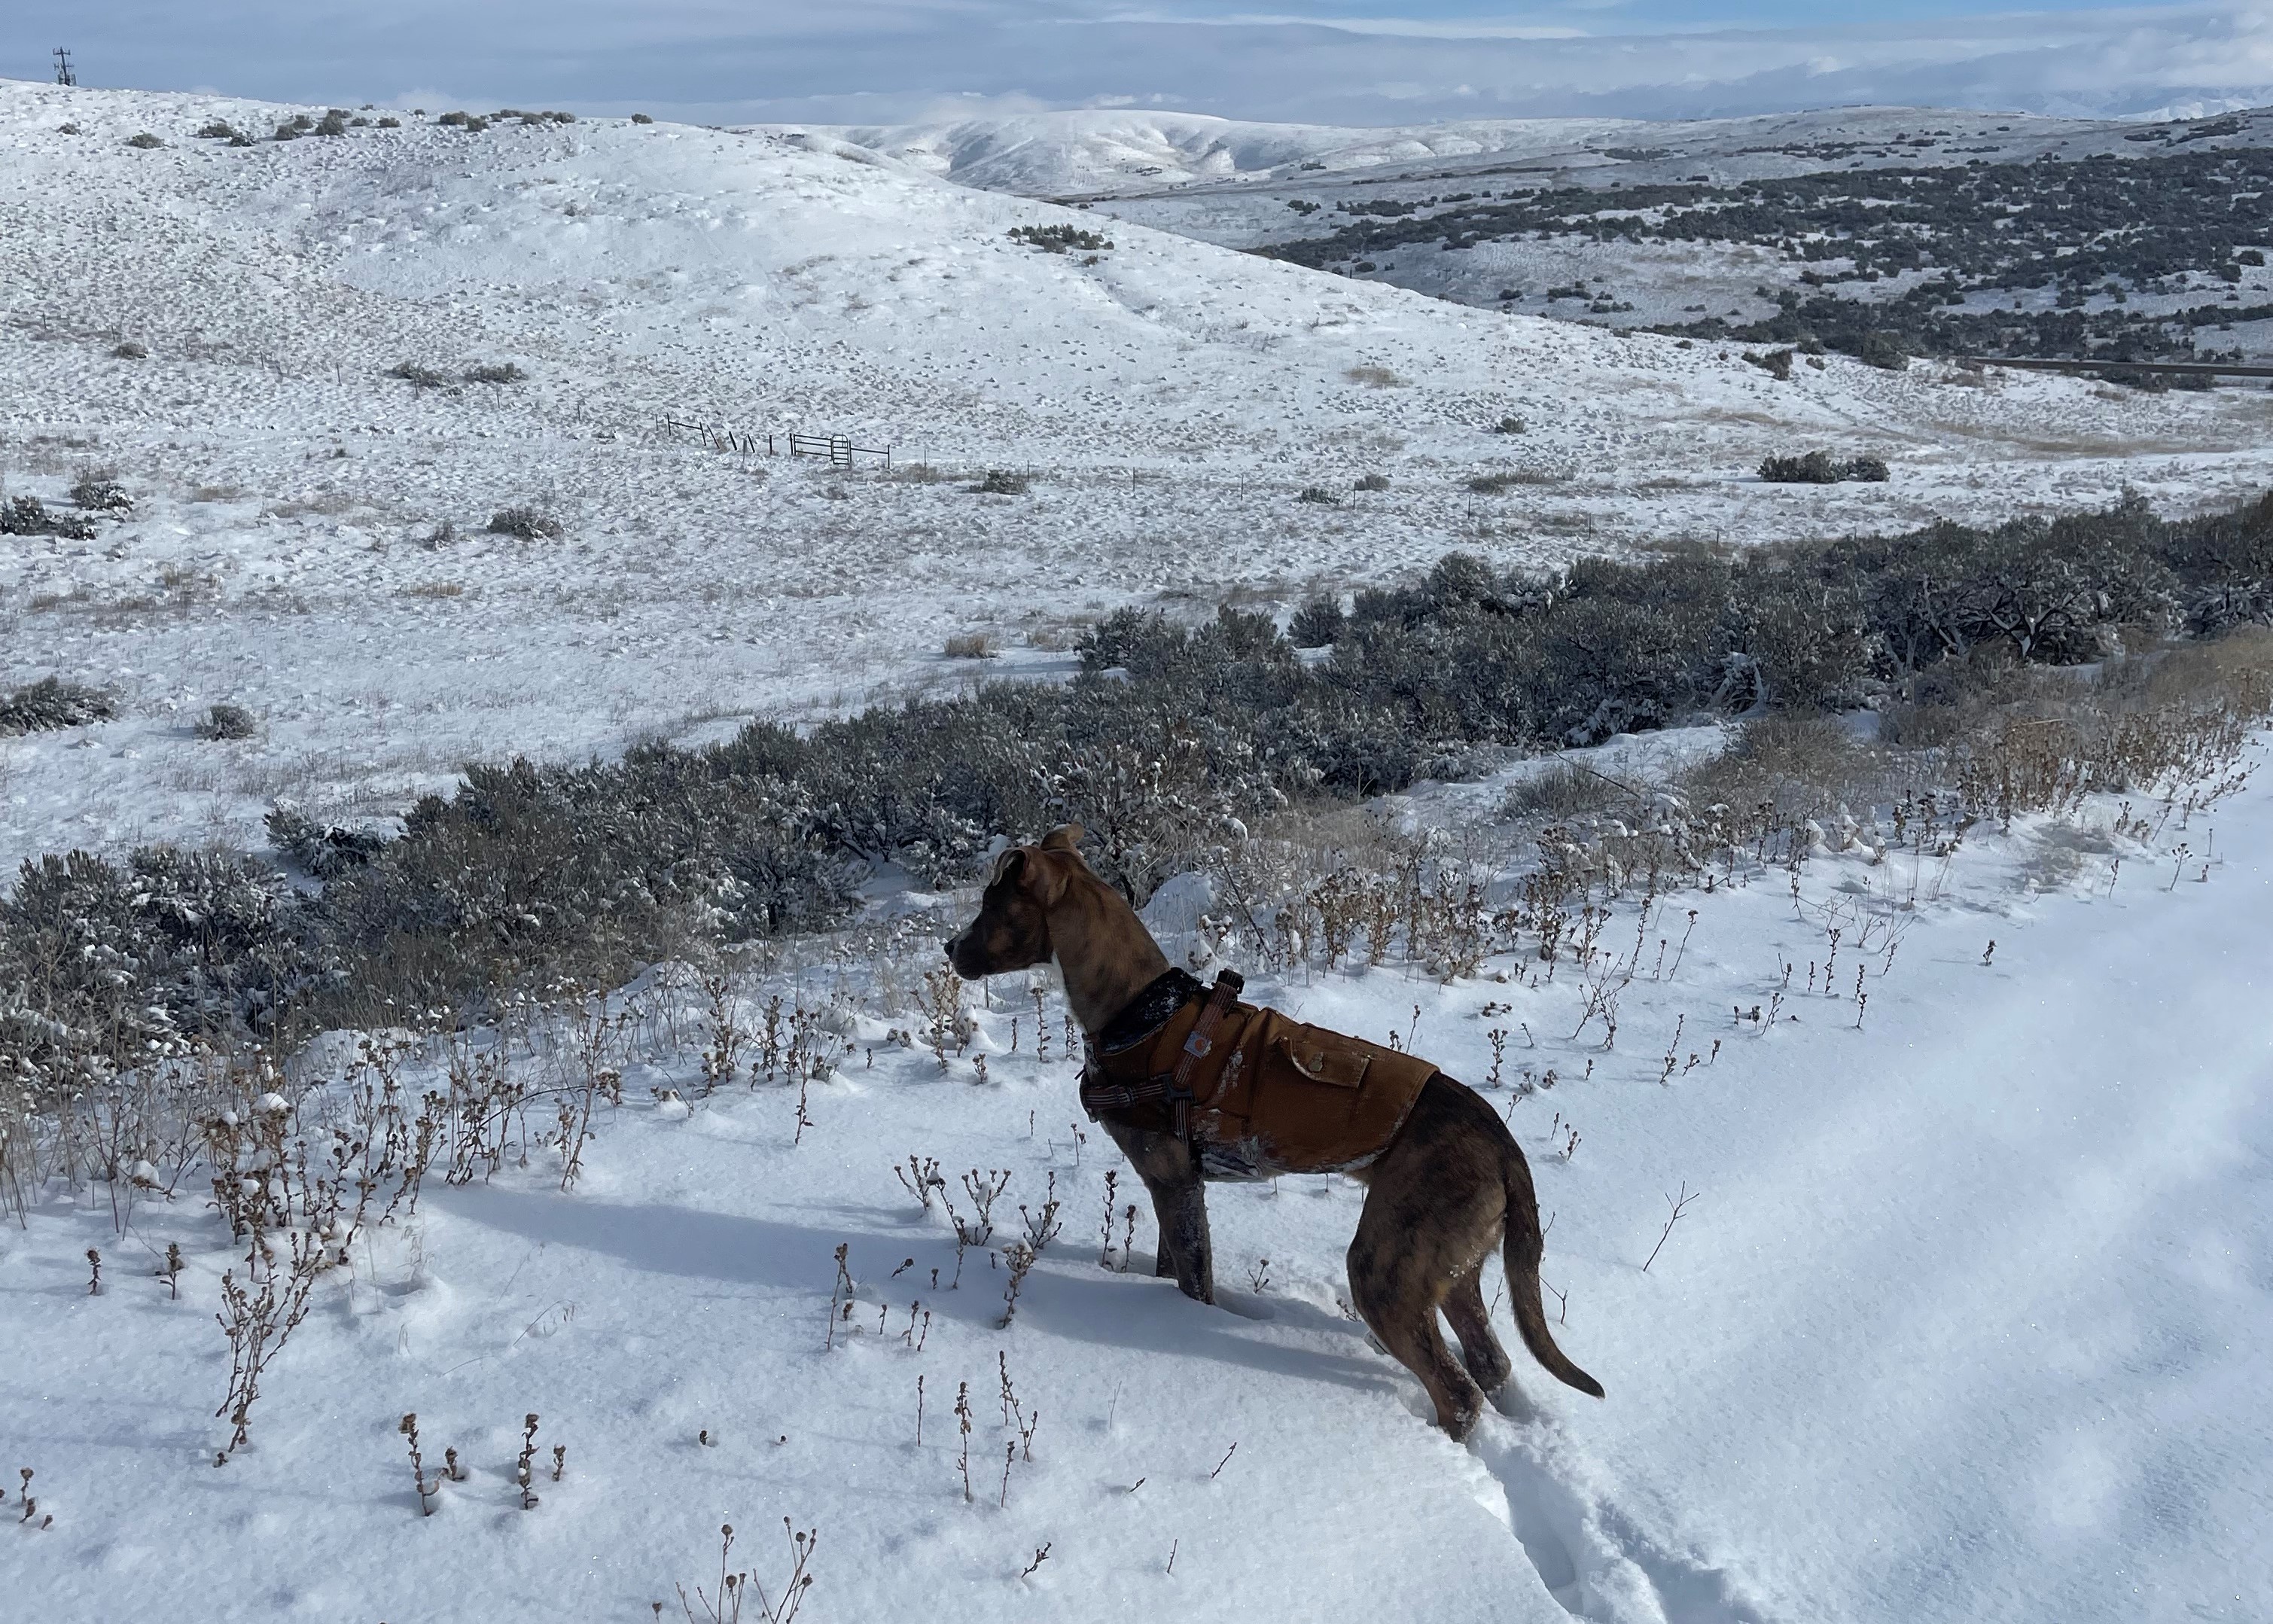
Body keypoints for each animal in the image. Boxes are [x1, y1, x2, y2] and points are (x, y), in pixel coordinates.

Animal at [940, 823, 1600, 1428]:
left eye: (990, 906)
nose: (948, 948)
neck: (1141, 1011)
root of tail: (1503, 1144)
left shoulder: (1173, 1184)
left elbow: (1192, 1282)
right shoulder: (1176, 1187)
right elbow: (1174, 1266)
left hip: (1384, 1267)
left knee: (1457, 1390)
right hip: (1453, 1266)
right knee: (1490, 1363)